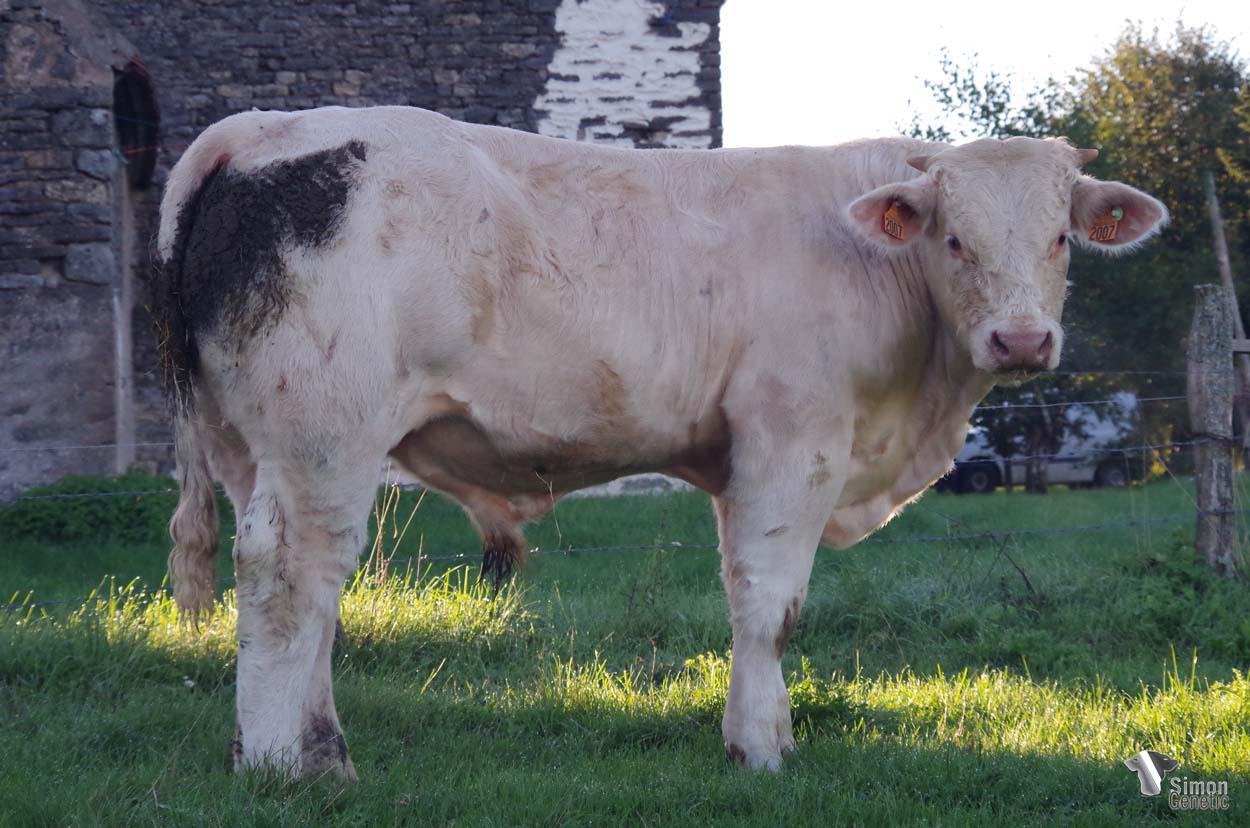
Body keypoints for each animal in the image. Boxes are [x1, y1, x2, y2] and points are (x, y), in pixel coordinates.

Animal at [152, 105, 1166, 778]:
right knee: (291, 575)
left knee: (310, 589)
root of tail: (260, 128)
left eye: (1060, 239)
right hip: (325, 436)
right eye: (954, 239)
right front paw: (761, 749)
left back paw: (307, 744)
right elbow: (771, 604)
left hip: (251, 446)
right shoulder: (792, 442)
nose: (1023, 341)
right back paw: (288, 764)